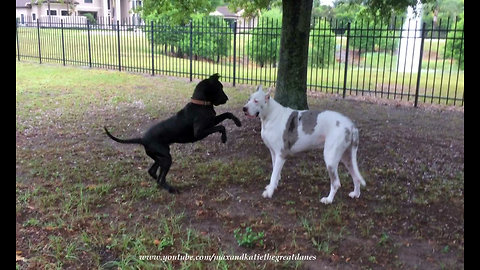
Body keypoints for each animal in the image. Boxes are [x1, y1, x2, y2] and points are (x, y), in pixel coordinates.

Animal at [103, 73, 242, 193]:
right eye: (220, 88)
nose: (227, 98)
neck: (201, 104)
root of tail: (142, 139)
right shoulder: (200, 132)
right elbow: (221, 126)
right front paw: (224, 138)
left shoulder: (212, 121)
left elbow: (227, 114)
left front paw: (238, 122)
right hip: (166, 158)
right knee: (160, 178)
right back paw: (170, 189)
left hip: (161, 157)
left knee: (153, 172)